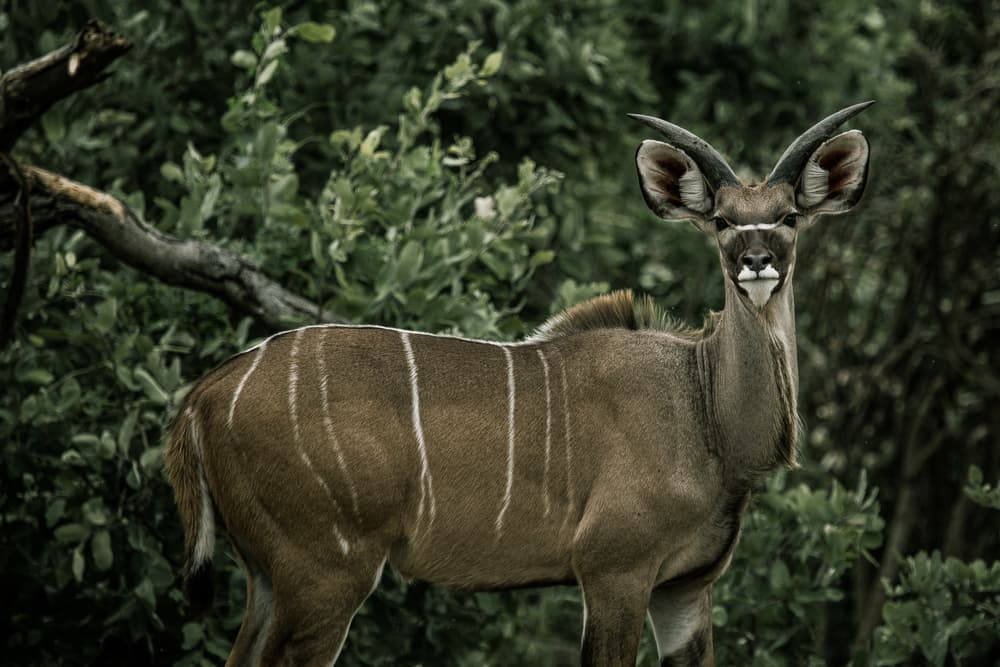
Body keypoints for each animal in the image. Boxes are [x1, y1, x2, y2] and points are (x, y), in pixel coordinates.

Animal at [165, 102, 872, 666]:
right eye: (722, 220)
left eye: (789, 216)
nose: (757, 261)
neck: (704, 413)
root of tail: (203, 397)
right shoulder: (614, 568)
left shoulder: (685, 589)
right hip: (325, 572)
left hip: (269, 576)